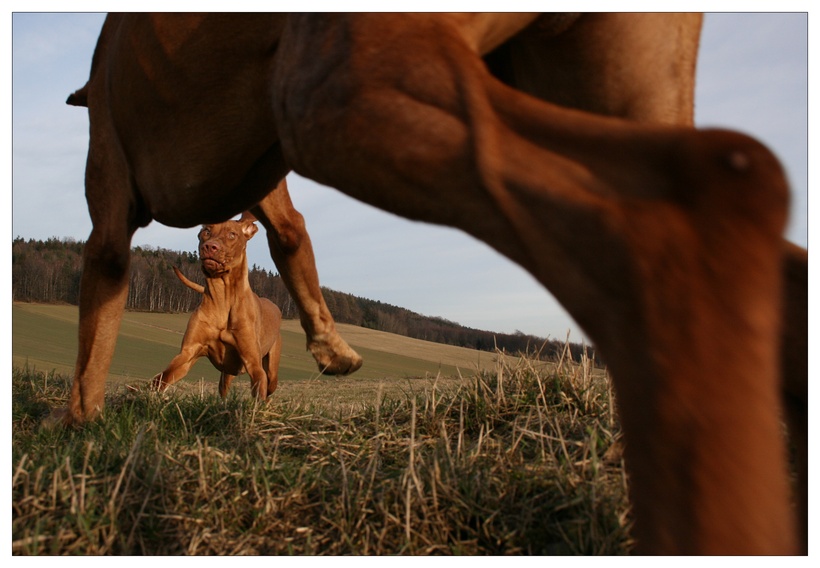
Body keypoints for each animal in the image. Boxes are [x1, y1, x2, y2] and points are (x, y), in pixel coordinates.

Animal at [152, 214, 284, 400]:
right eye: (206, 231)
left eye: (232, 234)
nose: (210, 246)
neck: (223, 300)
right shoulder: (187, 354)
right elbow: (160, 379)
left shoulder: (254, 364)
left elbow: (259, 391)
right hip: (227, 373)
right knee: (223, 389)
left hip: (271, 371)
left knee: (269, 384)